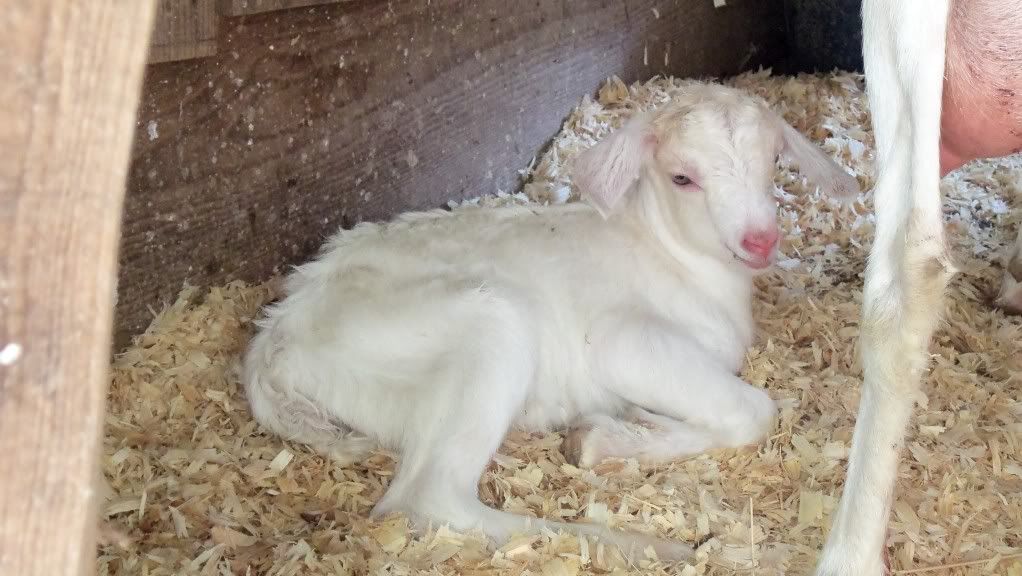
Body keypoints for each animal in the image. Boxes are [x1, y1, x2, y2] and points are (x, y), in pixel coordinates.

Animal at [241, 81, 858, 562]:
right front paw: (605, 437)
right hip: (489, 326)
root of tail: (277, 336)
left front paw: (622, 429)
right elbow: (755, 409)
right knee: (430, 498)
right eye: (682, 178)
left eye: (773, 161)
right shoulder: (622, 340)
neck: (672, 255)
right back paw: (646, 547)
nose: (760, 241)